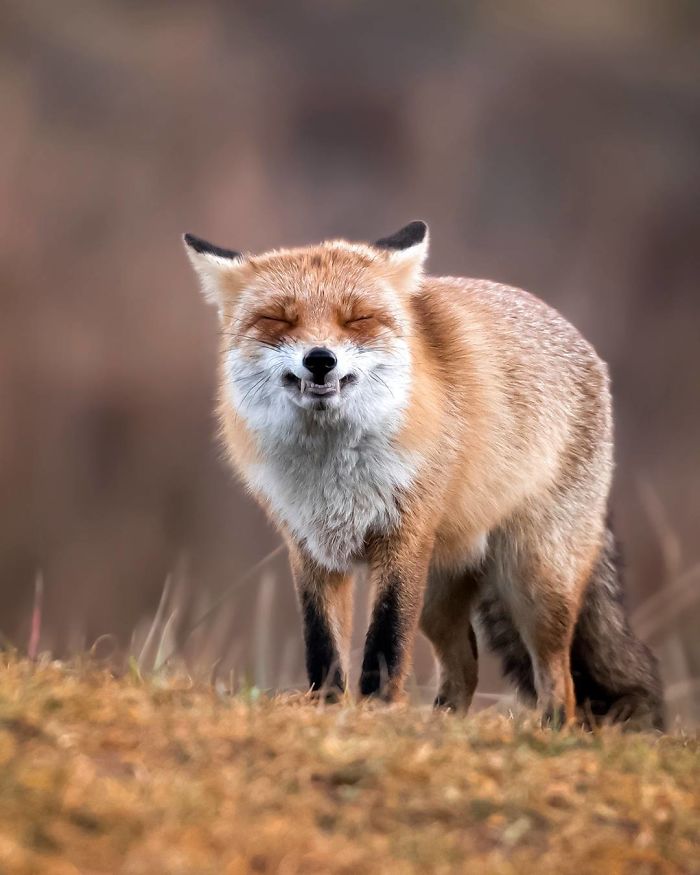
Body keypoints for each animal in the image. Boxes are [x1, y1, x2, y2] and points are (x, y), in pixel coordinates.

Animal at [183, 220, 664, 729]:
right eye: (278, 319)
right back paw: (442, 723)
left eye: (357, 319)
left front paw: (375, 710)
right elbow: (322, 645)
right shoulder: (311, 548)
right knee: (465, 668)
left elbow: (386, 640)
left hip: (534, 582)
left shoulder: (403, 540)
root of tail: (576, 335)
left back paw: (552, 731)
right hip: (439, 599)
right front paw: (328, 707)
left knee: (560, 679)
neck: (334, 475)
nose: (320, 359)